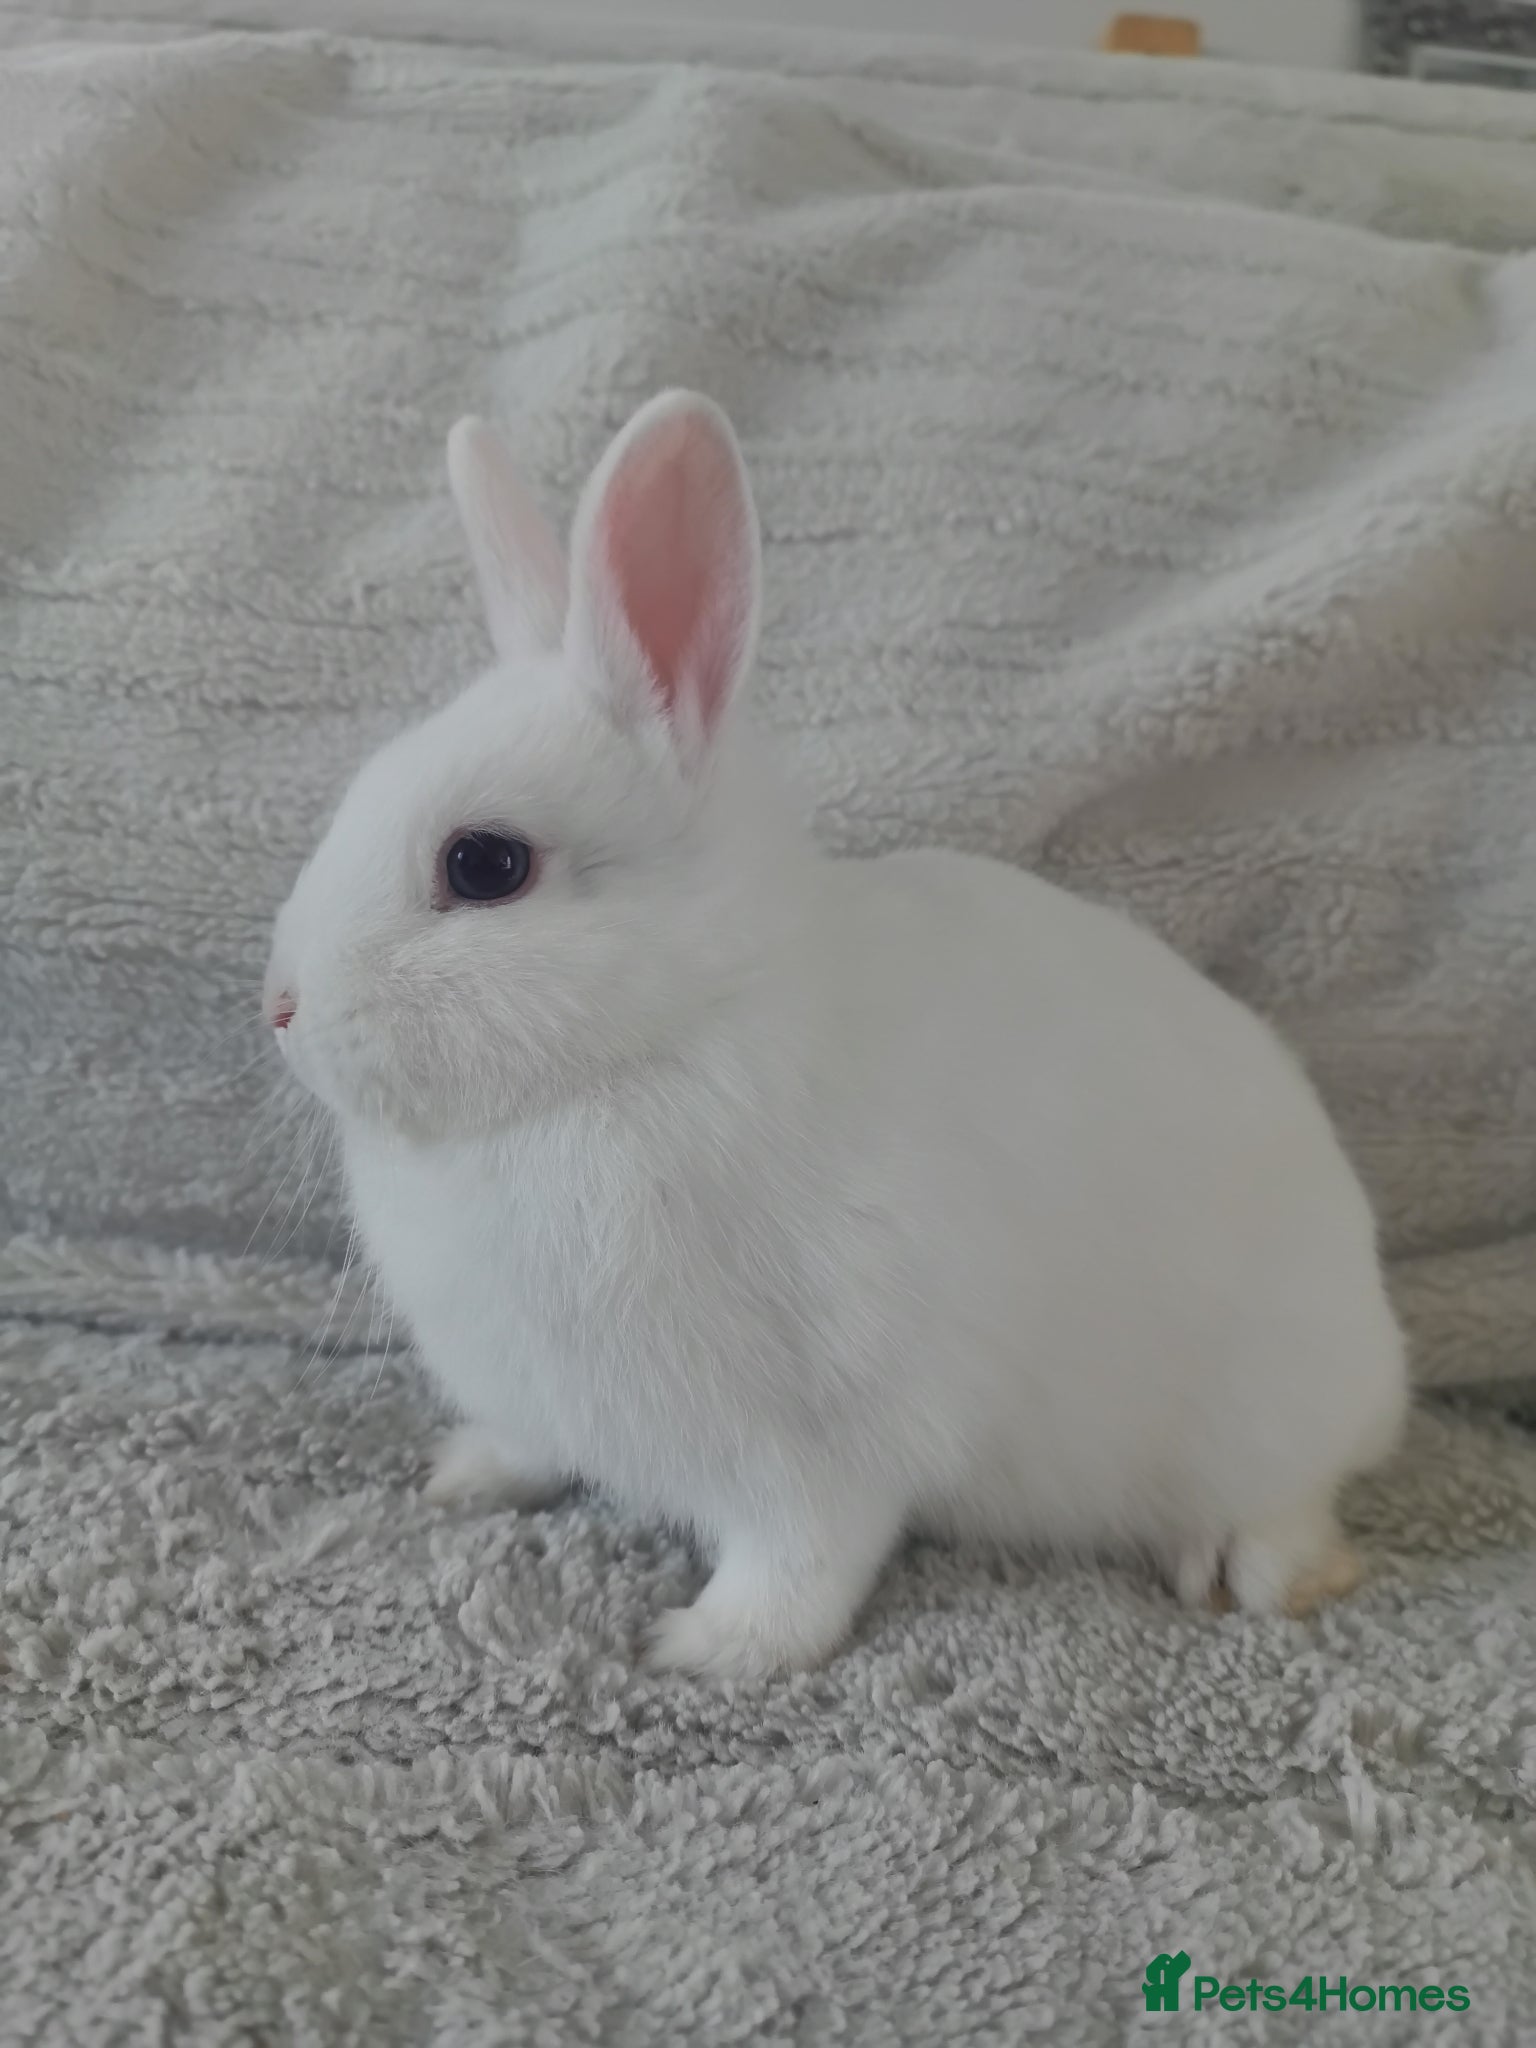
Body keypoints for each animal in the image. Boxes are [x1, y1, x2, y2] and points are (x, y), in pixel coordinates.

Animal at [265, 389, 1408, 1680]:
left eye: (485, 864)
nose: (280, 1005)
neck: (655, 1037)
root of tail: (1380, 1360)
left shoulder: (821, 1432)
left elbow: (803, 1555)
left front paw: (708, 1646)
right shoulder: (543, 1390)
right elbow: (525, 1441)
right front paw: (460, 1477)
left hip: (1262, 1408)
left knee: (1293, 1497)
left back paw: (1258, 1572)